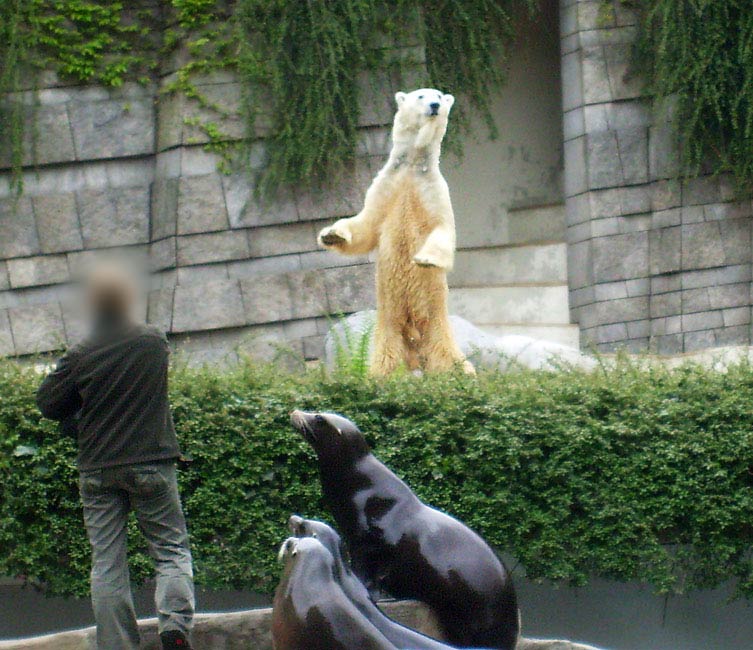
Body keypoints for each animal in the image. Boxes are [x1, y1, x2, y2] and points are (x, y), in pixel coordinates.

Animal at [316, 86, 470, 374]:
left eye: (439, 96)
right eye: (421, 96)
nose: (434, 106)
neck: (413, 166)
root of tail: (415, 339)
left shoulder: (432, 189)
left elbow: (443, 229)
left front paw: (425, 259)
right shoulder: (387, 183)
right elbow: (365, 224)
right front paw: (331, 234)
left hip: (436, 320)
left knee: (447, 353)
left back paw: (460, 372)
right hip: (388, 322)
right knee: (386, 356)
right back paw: (381, 376)